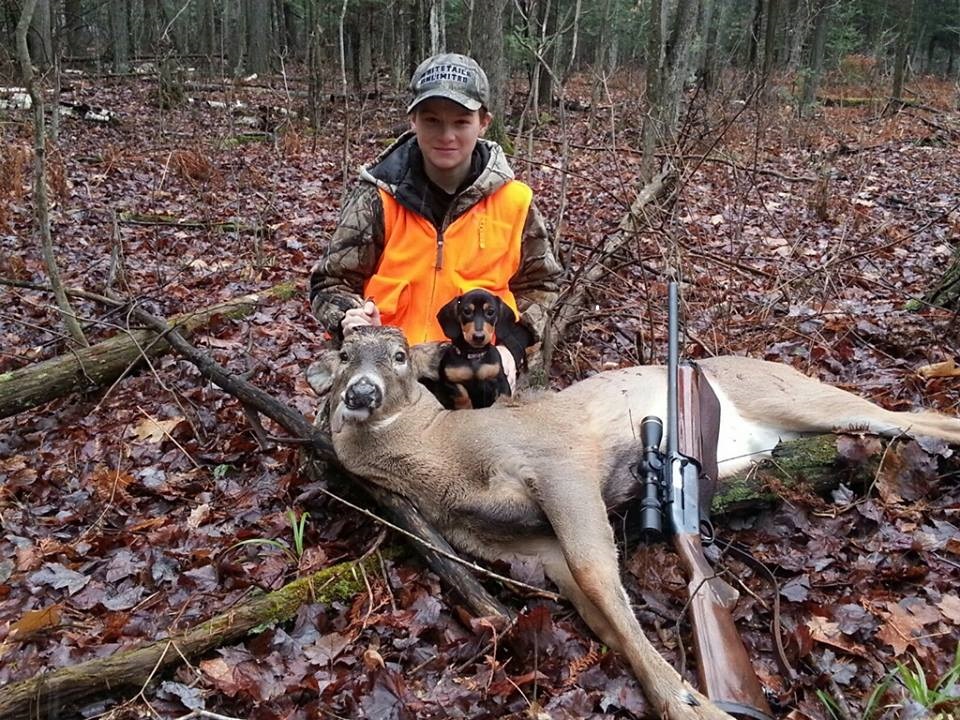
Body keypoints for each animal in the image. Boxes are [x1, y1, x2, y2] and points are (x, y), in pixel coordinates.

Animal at [308, 328, 960, 720]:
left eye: (398, 357)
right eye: (344, 356)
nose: (359, 394)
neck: (446, 459)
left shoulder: (558, 461)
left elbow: (599, 574)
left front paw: (694, 704)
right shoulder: (532, 546)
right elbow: (602, 615)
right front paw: (685, 693)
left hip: (793, 394)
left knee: (910, 414)